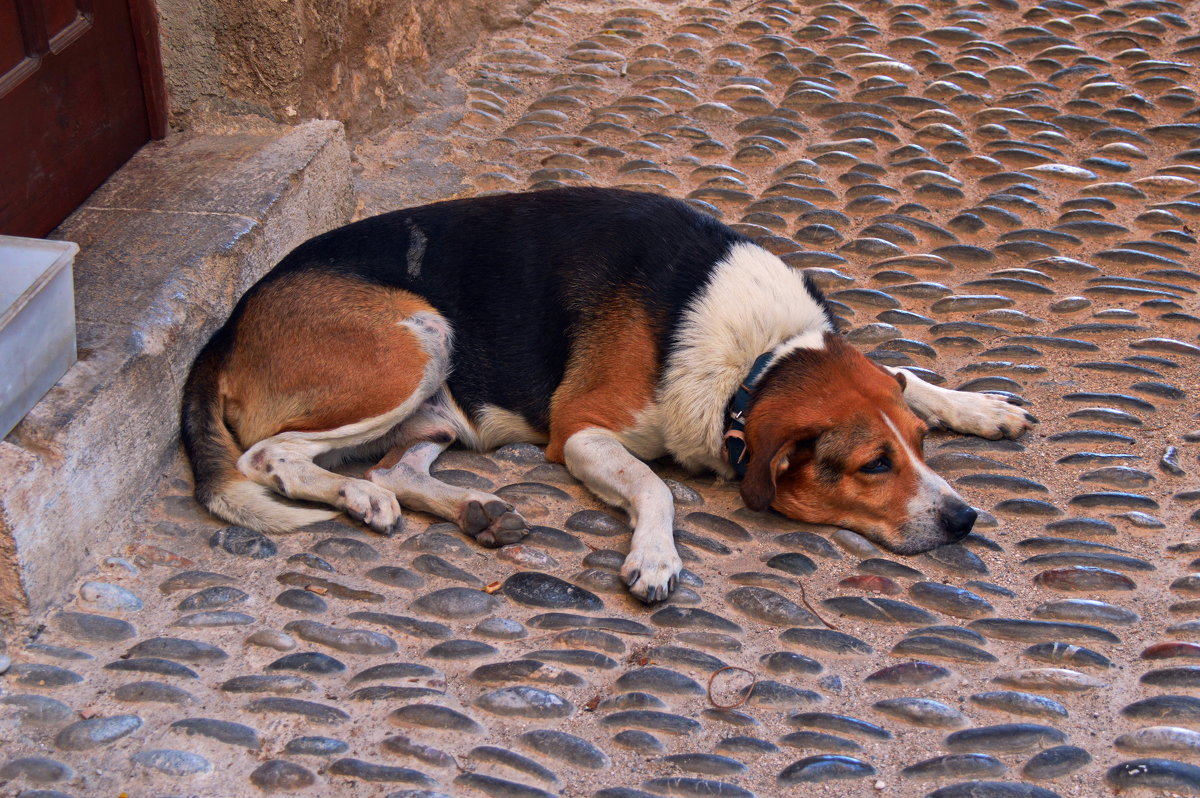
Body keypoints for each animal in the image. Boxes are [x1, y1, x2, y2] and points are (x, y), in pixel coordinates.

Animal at [182, 187, 1036, 597]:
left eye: (918, 450)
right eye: (872, 466)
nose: (965, 520)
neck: (752, 358)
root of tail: (227, 325)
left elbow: (907, 375)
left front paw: (979, 406)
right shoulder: (582, 433)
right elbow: (654, 486)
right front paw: (654, 558)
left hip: (438, 405)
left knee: (395, 466)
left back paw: (472, 508)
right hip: (416, 340)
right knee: (271, 458)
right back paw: (359, 499)